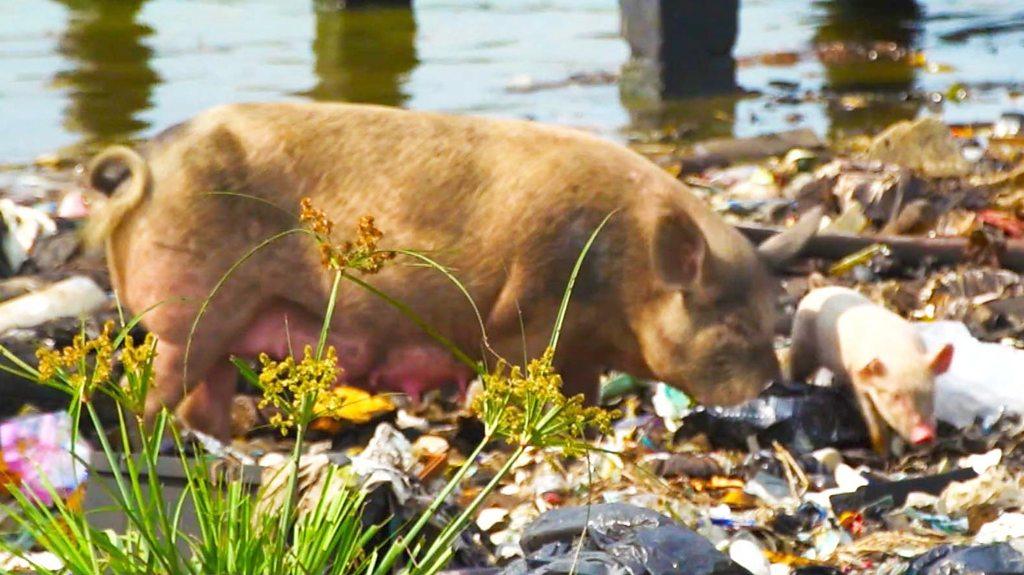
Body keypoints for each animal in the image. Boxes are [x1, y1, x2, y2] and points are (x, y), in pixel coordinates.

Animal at [88, 101, 819, 437]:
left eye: (773, 317)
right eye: (730, 322)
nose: (778, 384)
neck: (627, 279)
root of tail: (149, 164)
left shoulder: (582, 345)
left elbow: (581, 387)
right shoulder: (525, 311)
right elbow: (517, 367)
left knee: (203, 390)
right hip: (189, 312)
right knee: (159, 383)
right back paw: (155, 439)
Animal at [790, 286, 950, 452]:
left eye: (930, 392)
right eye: (895, 396)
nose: (925, 434)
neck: (899, 353)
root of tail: (819, 290)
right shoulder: (859, 381)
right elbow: (872, 419)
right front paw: (882, 452)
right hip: (802, 342)